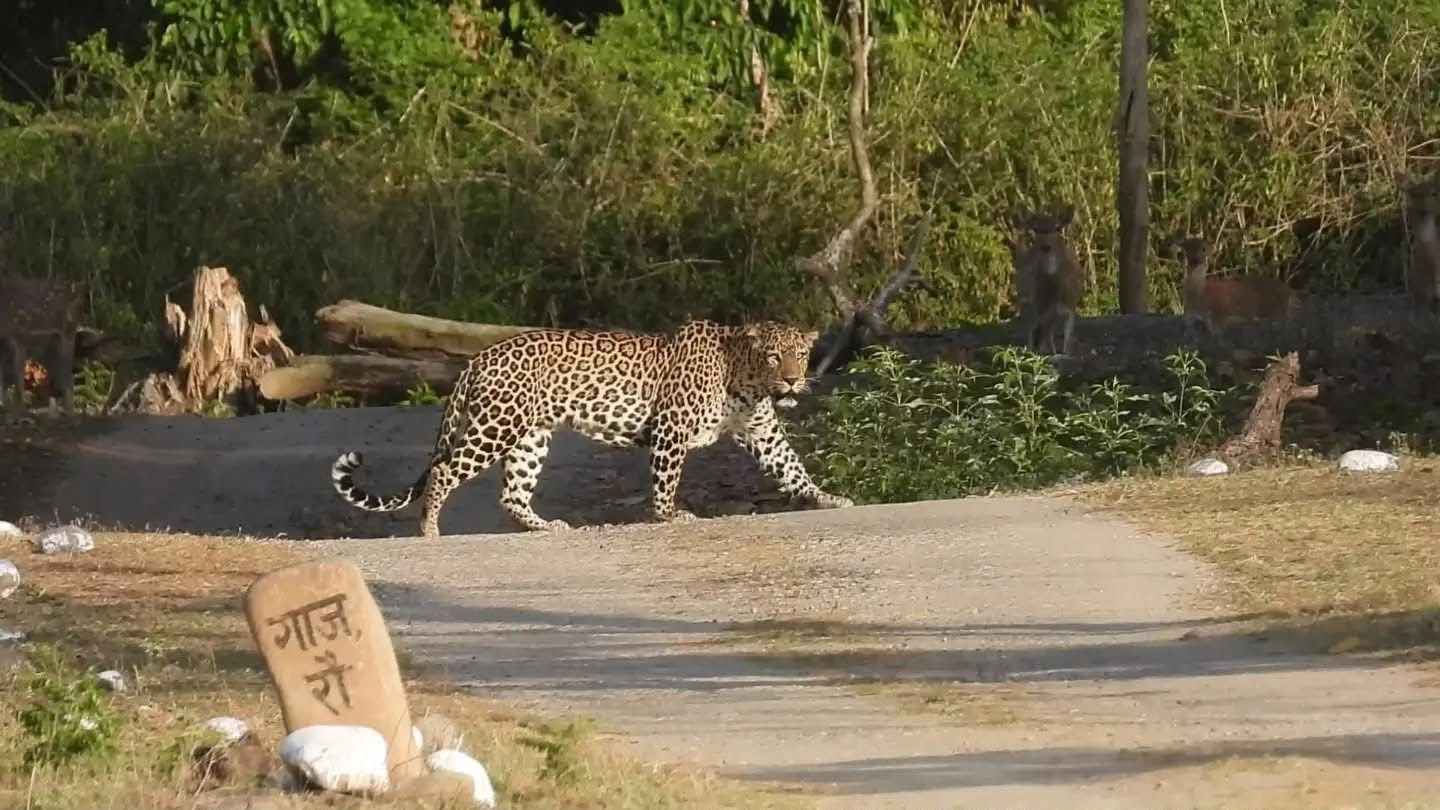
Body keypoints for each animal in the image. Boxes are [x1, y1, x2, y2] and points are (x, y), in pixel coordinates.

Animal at [330, 318, 854, 538]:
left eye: (800, 354)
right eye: (774, 356)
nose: (794, 379)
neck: (744, 378)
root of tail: (479, 356)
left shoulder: (762, 432)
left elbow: (793, 468)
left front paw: (829, 498)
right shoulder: (671, 427)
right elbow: (666, 479)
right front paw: (669, 516)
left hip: (530, 438)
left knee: (511, 494)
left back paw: (545, 527)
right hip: (496, 426)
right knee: (443, 472)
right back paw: (430, 530)